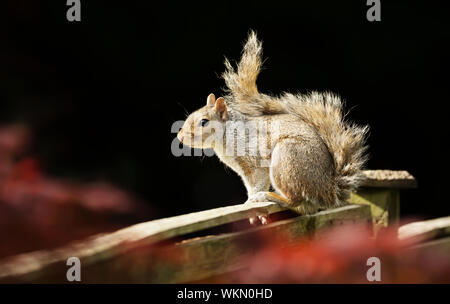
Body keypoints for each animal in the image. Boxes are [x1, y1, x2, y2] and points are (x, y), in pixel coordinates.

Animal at [177, 31, 370, 226]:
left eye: (203, 122)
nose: (180, 137)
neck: (227, 136)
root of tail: (327, 191)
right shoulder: (244, 172)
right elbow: (250, 187)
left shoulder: (254, 162)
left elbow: (258, 183)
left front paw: (251, 201)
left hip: (287, 160)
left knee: (294, 199)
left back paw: (269, 196)